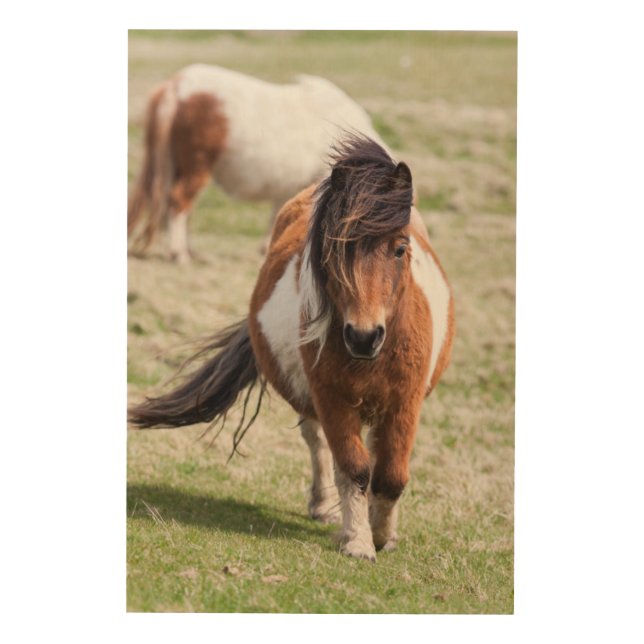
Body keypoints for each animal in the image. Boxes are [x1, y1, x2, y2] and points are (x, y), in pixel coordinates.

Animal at [129, 135, 455, 562]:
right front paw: (359, 541)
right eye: (335, 251)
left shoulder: (405, 403)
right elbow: (354, 468)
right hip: (310, 400)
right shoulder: (332, 399)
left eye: (400, 249)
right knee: (319, 445)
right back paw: (324, 507)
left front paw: (383, 535)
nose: (363, 336)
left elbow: (391, 476)